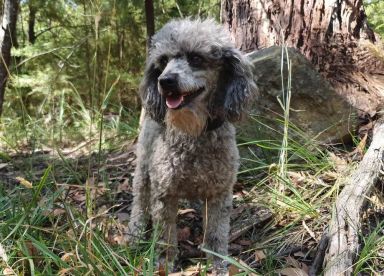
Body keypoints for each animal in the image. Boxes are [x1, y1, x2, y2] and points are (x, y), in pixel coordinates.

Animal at [127, 18, 256, 274]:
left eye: (196, 58)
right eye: (163, 61)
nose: (165, 81)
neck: (194, 132)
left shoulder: (219, 193)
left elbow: (216, 235)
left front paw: (218, 264)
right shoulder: (164, 193)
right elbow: (166, 235)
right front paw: (165, 263)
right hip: (144, 169)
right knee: (139, 202)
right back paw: (134, 234)